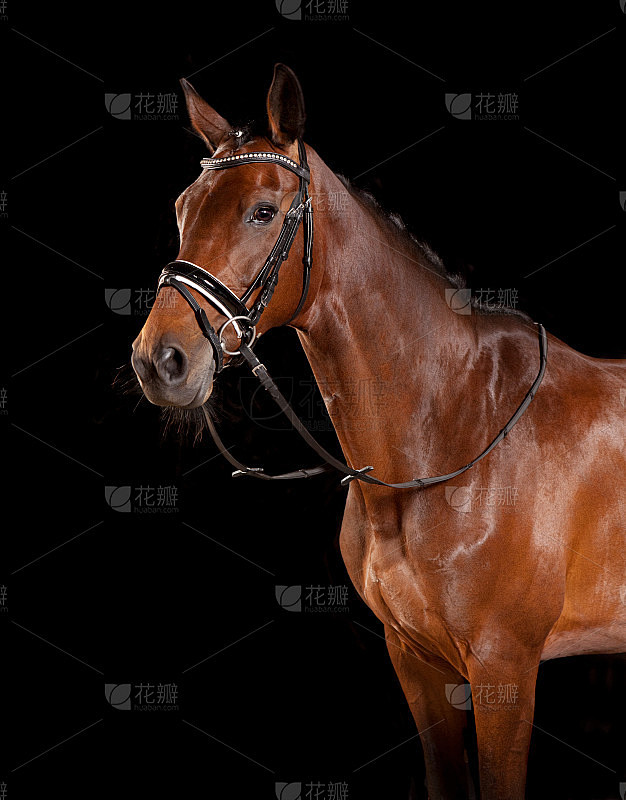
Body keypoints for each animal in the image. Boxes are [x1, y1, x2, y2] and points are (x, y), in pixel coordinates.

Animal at [131, 64, 626, 799]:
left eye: (263, 211)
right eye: (182, 207)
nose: (159, 360)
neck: (453, 429)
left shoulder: (504, 667)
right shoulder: (415, 660)